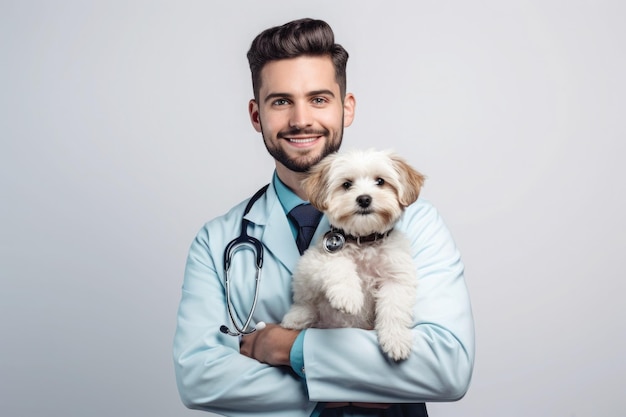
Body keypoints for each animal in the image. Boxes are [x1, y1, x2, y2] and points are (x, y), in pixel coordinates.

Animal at [282, 148, 424, 360]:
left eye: (380, 181)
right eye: (347, 184)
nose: (364, 199)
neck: (365, 241)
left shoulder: (397, 277)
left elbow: (394, 307)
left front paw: (396, 338)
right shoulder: (312, 259)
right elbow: (338, 264)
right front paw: (348, 295)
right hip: (303, 281)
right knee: (305, 302)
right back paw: (296, 318)